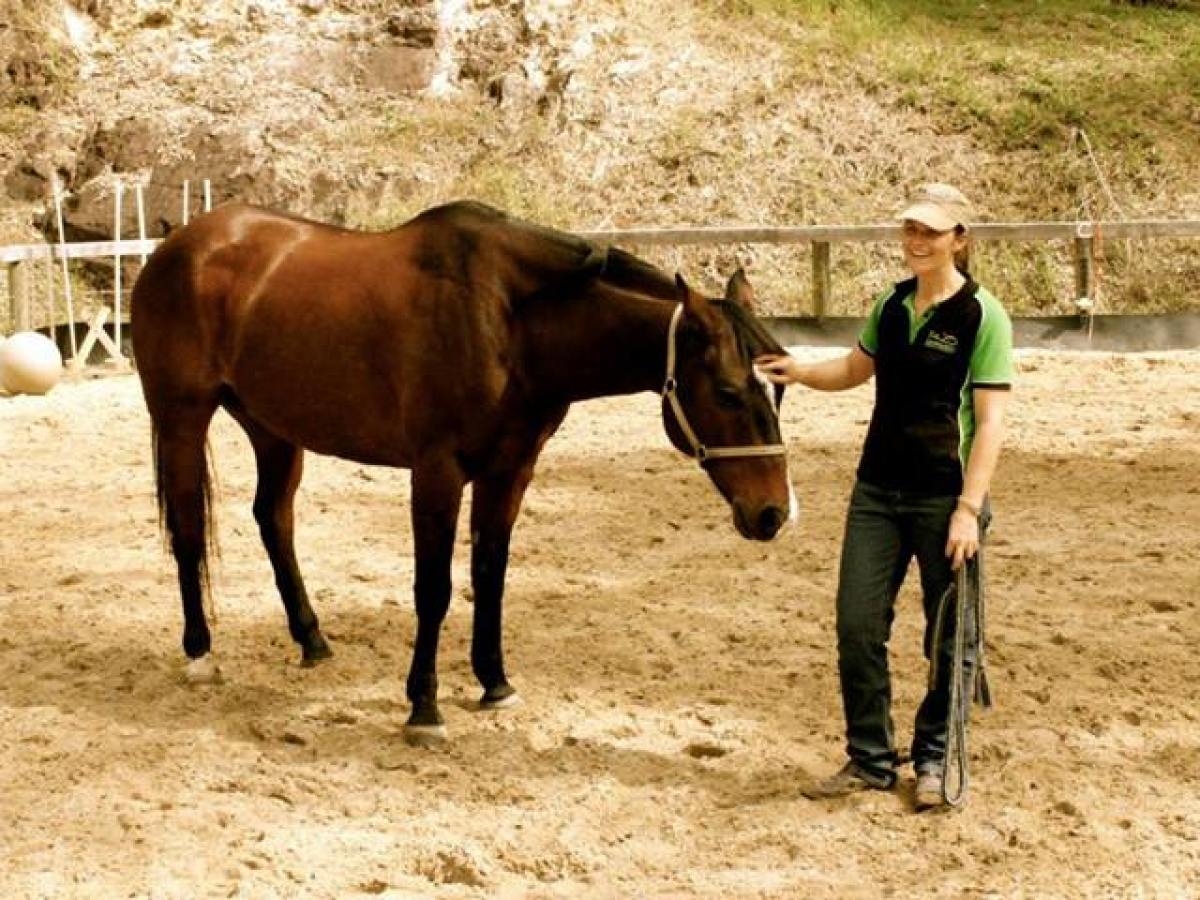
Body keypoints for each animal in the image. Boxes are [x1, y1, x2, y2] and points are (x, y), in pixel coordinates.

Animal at [130, 200, 796, 744]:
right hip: (183, 418)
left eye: (780, 388)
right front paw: (424, 708)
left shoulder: (510, 470)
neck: (509, 322)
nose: (772, 513)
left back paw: (311, 639)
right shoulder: (437, 471)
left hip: (274, 429)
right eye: (728, 393)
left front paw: (494, 683)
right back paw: (200, 654)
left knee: (274, 520)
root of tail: (177, 244)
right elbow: (435, 588)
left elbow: (489, 577)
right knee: (188, 531)